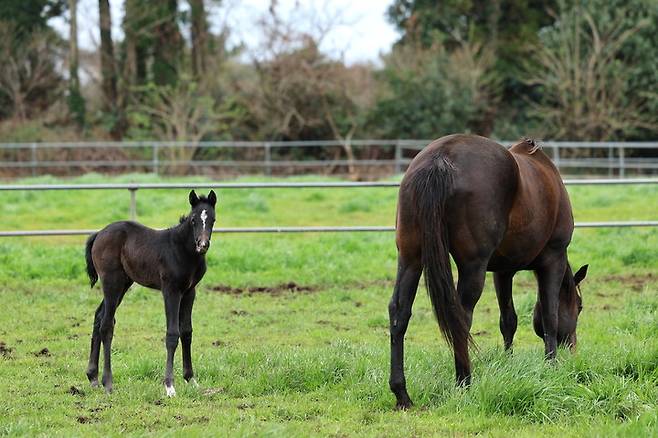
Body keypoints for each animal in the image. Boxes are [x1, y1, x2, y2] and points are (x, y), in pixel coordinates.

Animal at [83, 190, 218, 396]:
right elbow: (172, 334)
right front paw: (169, 386)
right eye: (194, 219)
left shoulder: (189, 291)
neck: (182, 250)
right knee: (106, 324)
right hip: (112, 282)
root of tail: (98, 234)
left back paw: (93, 377)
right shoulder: (171, 290)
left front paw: (191, 379)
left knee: (99, 317)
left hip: (124, 284)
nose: (202, 244)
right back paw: (108, 383)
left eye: (212, 219)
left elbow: (187, 331)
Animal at [386, 135, 588, 408]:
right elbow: (550, 316)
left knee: (400, 312)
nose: (574, 350)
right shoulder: (553, 259)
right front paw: (551, 366)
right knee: (460, 317)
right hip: (473, 267)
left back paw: (402, 393)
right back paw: (464, 382)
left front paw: (508, 362)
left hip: (410, 258)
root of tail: (439, 158)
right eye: (580, 306)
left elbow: (508, 320)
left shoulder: (503, 271)